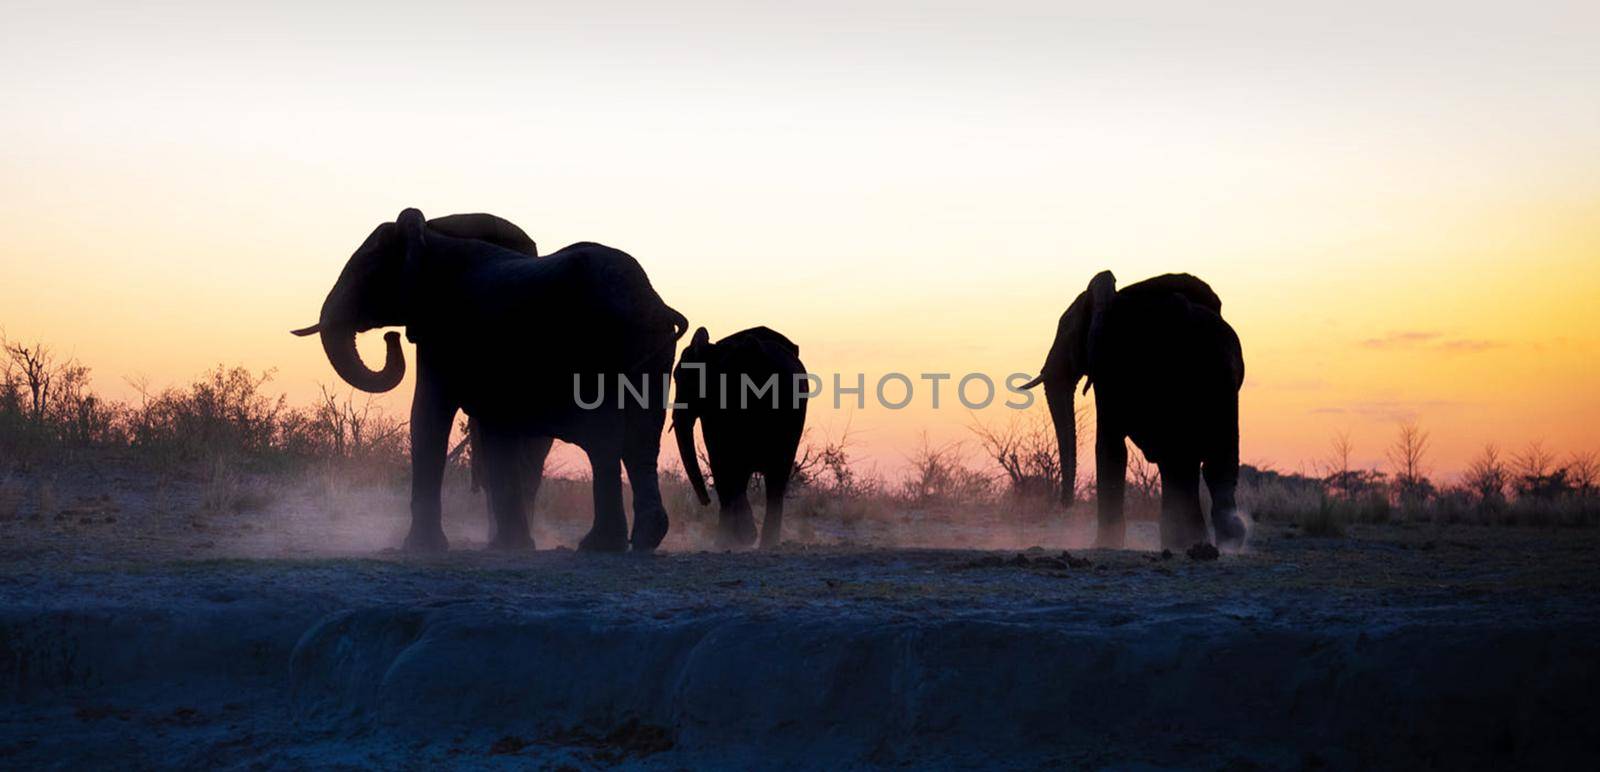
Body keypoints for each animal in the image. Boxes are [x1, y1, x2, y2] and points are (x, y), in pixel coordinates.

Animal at [297, 208, 684, 550]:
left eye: (366, 269)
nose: (389, 338)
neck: (431, 237)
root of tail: (652, 301)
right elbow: (495, 431)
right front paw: (511, 546)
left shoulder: (443, 331)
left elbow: (429, 415)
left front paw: (421, 548)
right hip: (651, 354)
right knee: (641, 439)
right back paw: (644, 540)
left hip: (597, 347)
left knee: (604, 437)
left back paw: (598, 546)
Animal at [668, 325, 806, 547]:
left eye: (679, 378)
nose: (705, 502)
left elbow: (721, 464)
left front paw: (736, 538)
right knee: (777, 479)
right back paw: (766, 544)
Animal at [1024, 270, 1248, 547]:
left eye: (1066, 331)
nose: (1064, 506)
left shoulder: (1107, 368)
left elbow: (1109, 446)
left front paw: (1103, 547)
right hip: (1223, 388)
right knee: (1211, 464)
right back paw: (1218, 543)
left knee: (1180, 459)